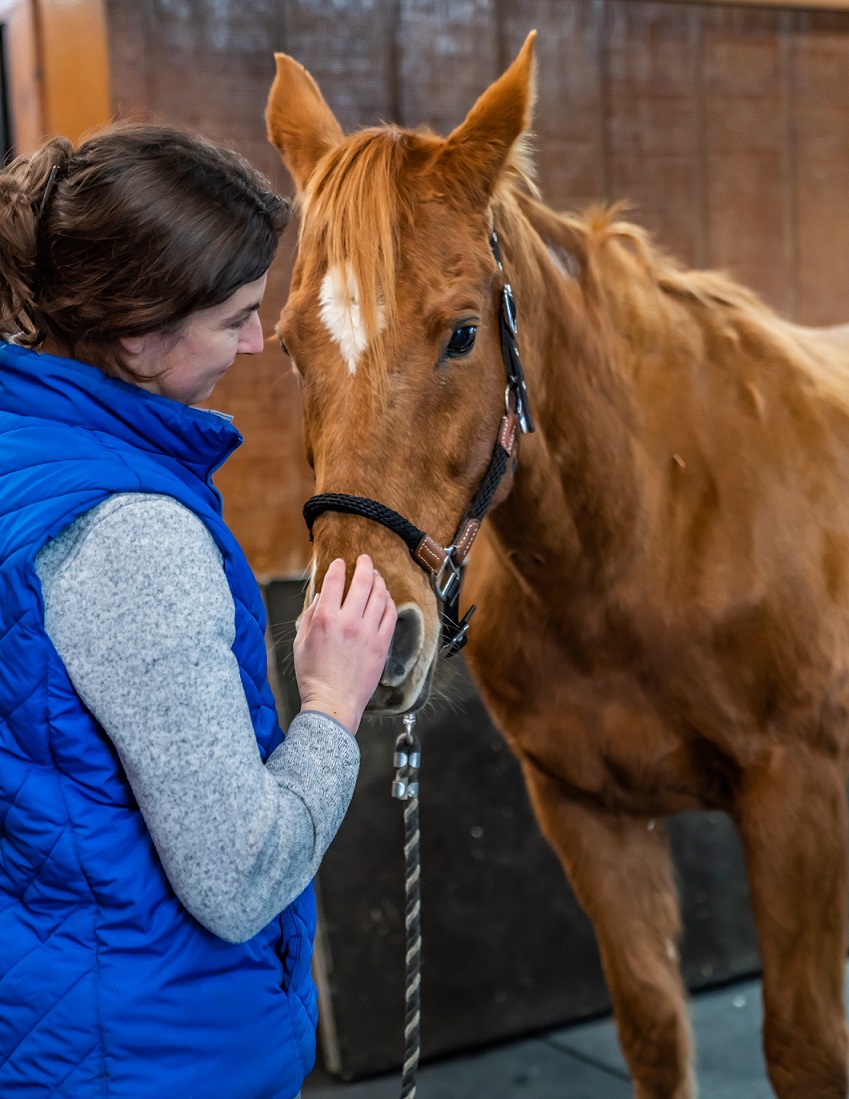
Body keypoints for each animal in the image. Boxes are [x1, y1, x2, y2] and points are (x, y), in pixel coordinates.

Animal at [264, 30, 847, 1094]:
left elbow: (804, 1045)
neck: (652, 529)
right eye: (288, 345)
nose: (364, 633)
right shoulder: (587, 811)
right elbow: (653, 1026)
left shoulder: (799, 799)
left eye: (462, 333)